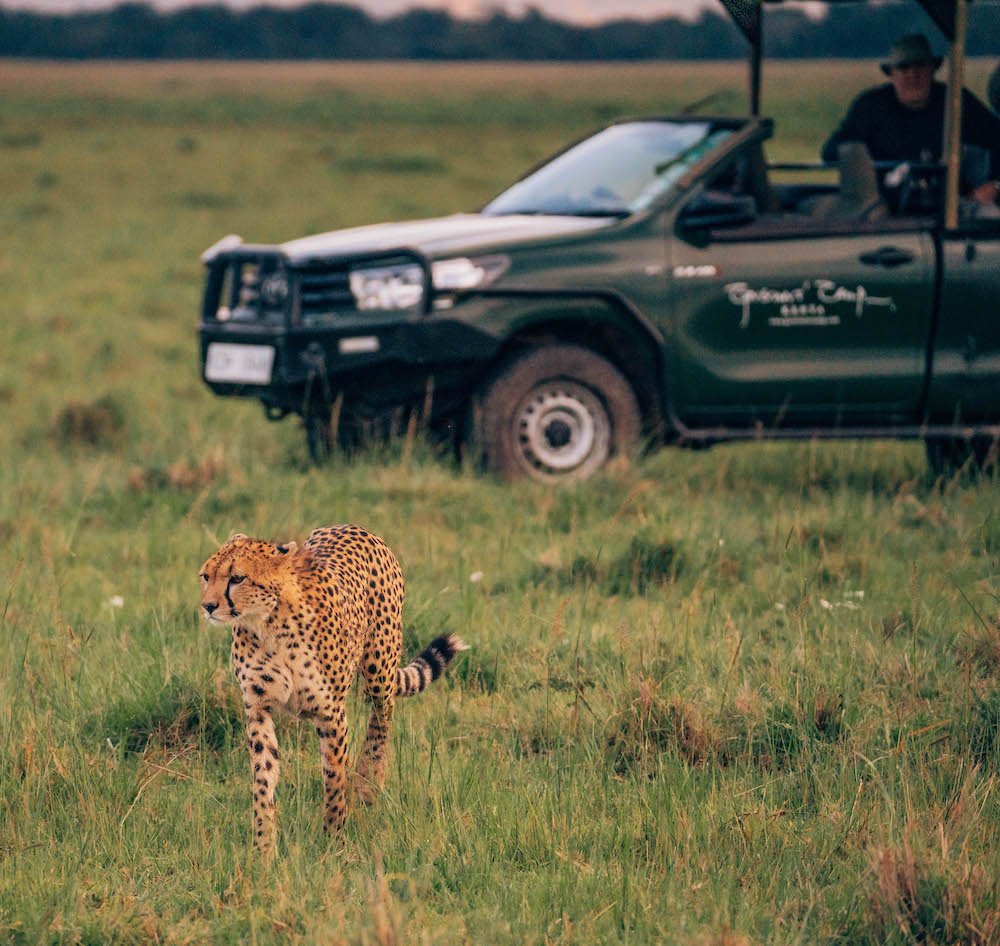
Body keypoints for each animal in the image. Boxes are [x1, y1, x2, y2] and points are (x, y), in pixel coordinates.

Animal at [201, 524, 470, 848]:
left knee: (383, 714)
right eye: (206, 576)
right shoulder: (259, 709)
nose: (208, 606)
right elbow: (263, 780)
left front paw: (332, 841)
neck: (268, 624)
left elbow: (334, 778)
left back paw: (368, 782)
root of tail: (355, 527)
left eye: (237, 578)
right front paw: (263, 847)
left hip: (379, 668)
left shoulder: (331, 713)